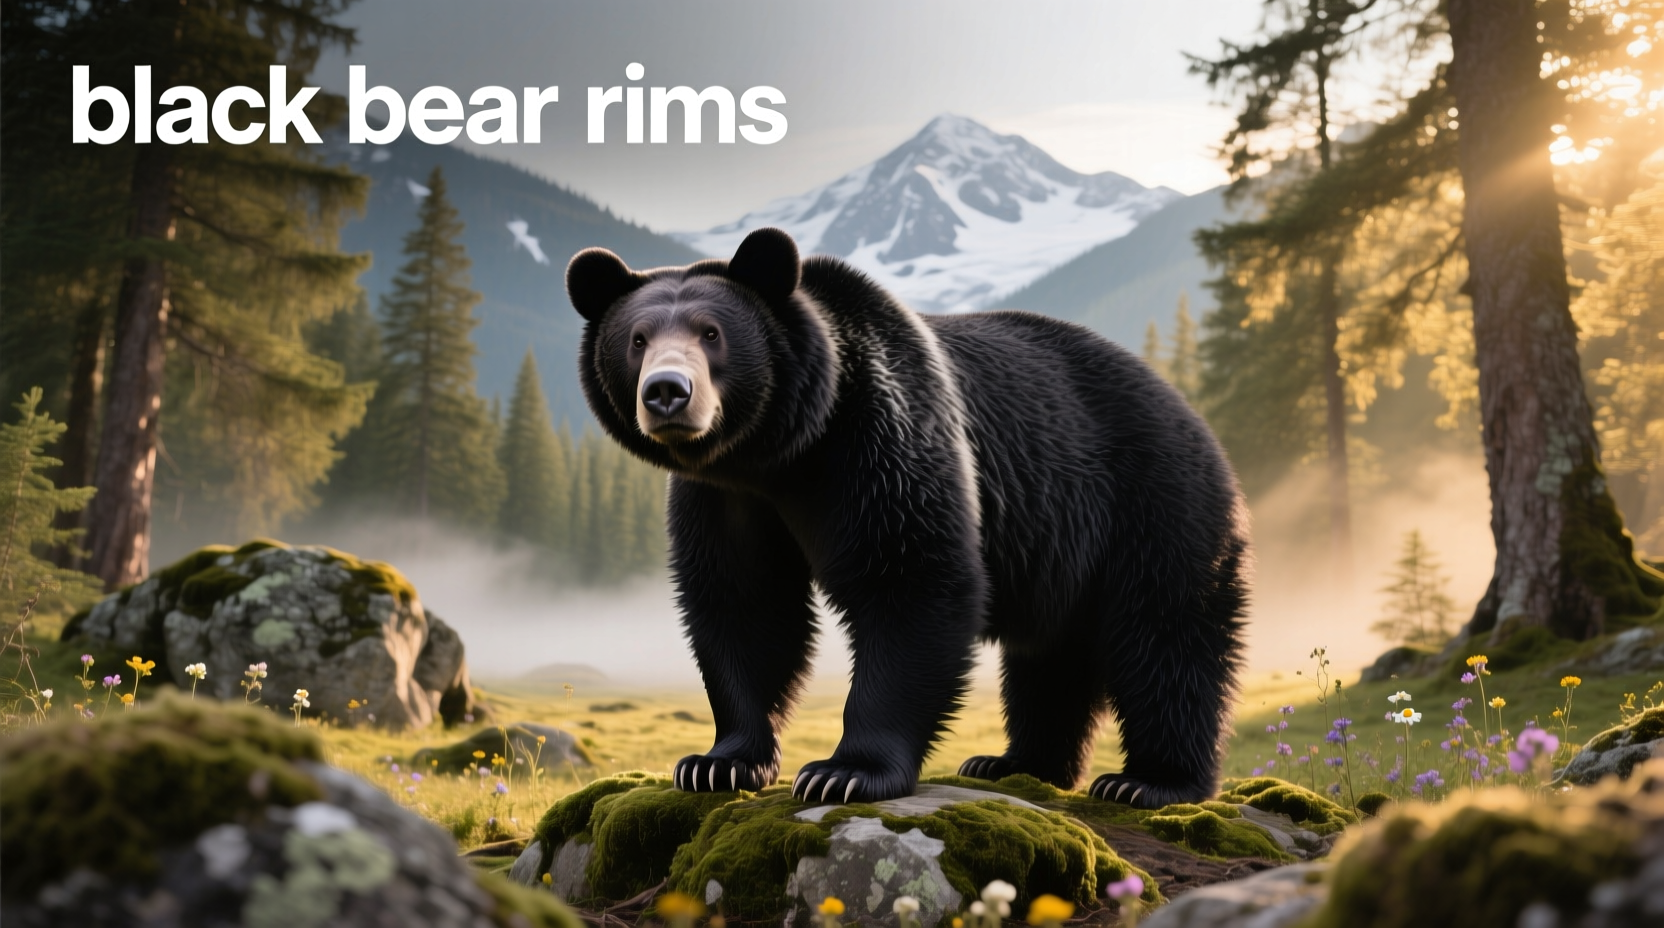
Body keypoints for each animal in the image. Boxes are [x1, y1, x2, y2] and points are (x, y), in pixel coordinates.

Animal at [566, 227, 1249, 808]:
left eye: (712, 333)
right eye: (636, 339)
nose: (667, 392)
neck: (783, 452)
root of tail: (1194, 416)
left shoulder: (880, 436)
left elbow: (911, 578)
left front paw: (843, 772)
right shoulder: (724, 498)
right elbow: (744, 603)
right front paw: (718, 763)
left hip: (1153, 502)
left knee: (1167, 633)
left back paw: (1149, 780)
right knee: (1049, 655)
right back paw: (1015, 763)